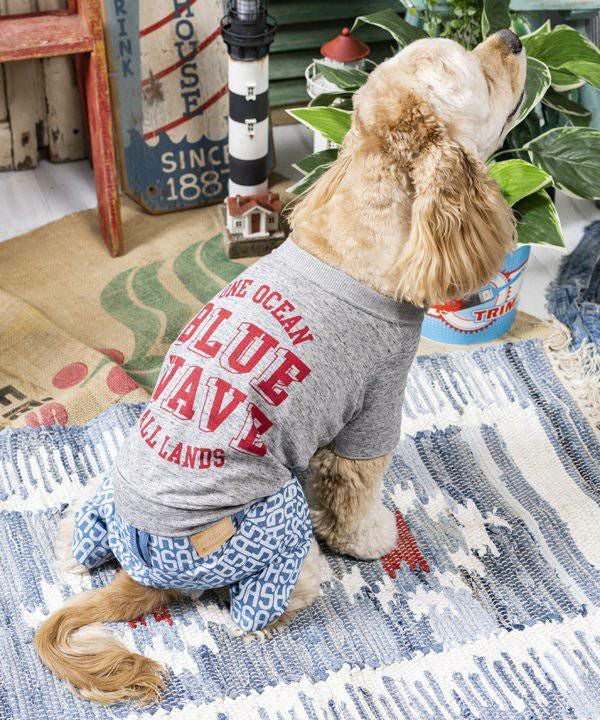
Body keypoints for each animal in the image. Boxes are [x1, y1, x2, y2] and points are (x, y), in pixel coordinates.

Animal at [35, 30, 526, 705]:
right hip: (267, 527)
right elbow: (357, 497)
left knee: (80, 533)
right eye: (474, 71)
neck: (360, 233)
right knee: (254, 605)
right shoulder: (373, 411)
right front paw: (375, 537)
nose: (512, 36)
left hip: (105, 507)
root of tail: (142, 569)